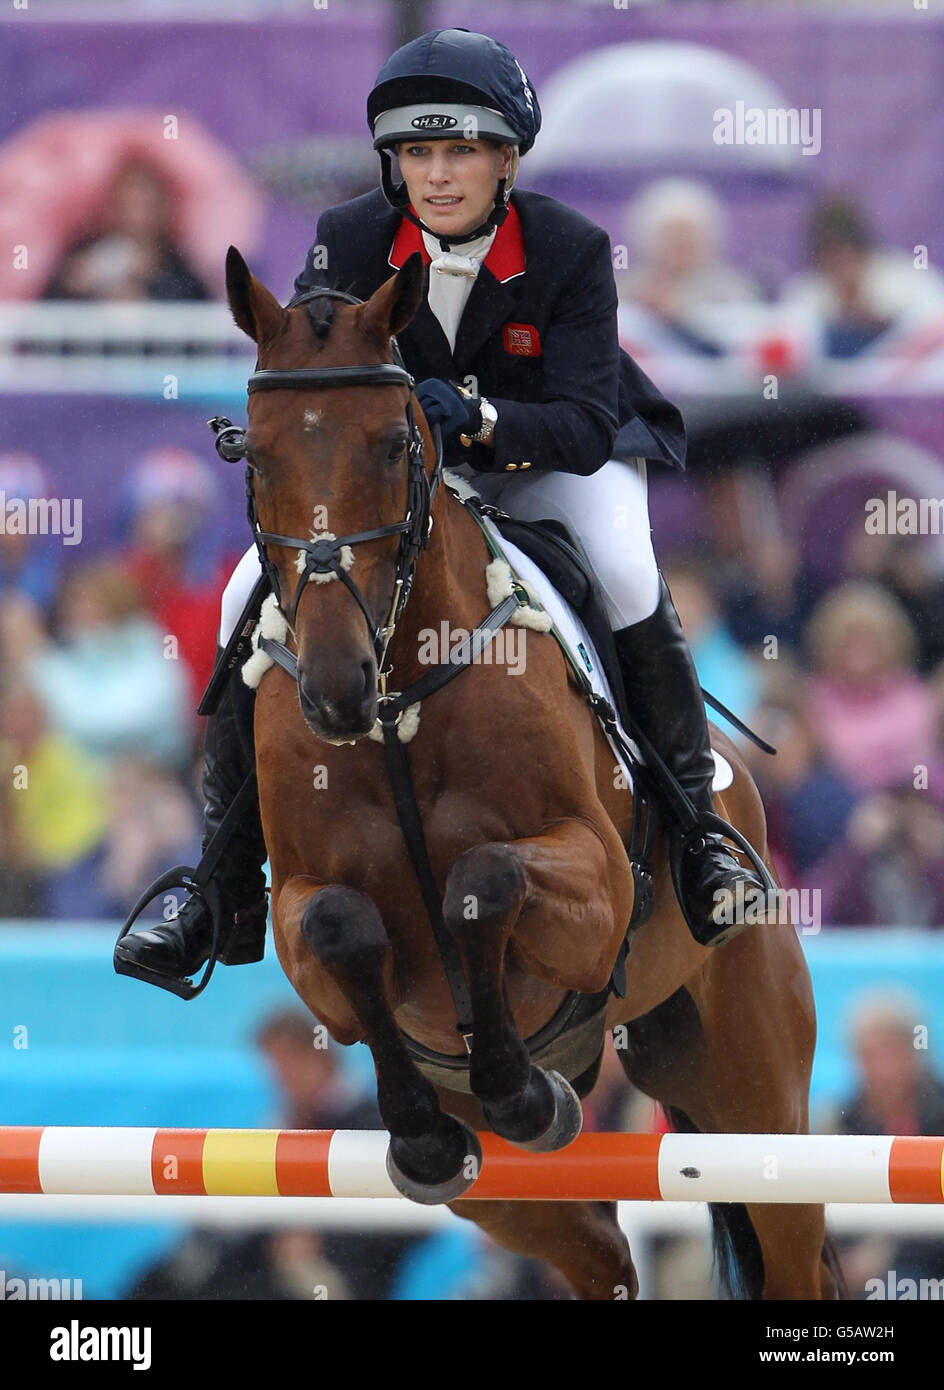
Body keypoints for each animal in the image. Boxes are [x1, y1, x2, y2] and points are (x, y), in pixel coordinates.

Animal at [223, 244, 839, 1295]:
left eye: (394, 443)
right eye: (254, 458)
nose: (338, 692)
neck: (400, 705)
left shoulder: (593, 884)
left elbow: (486, 878)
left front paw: (521, 1088)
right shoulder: (302, 916)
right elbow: (343, 926)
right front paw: (427, 1135)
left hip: (756, 1099)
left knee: (792, 1252)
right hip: (515, 1196)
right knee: (599, 1256)